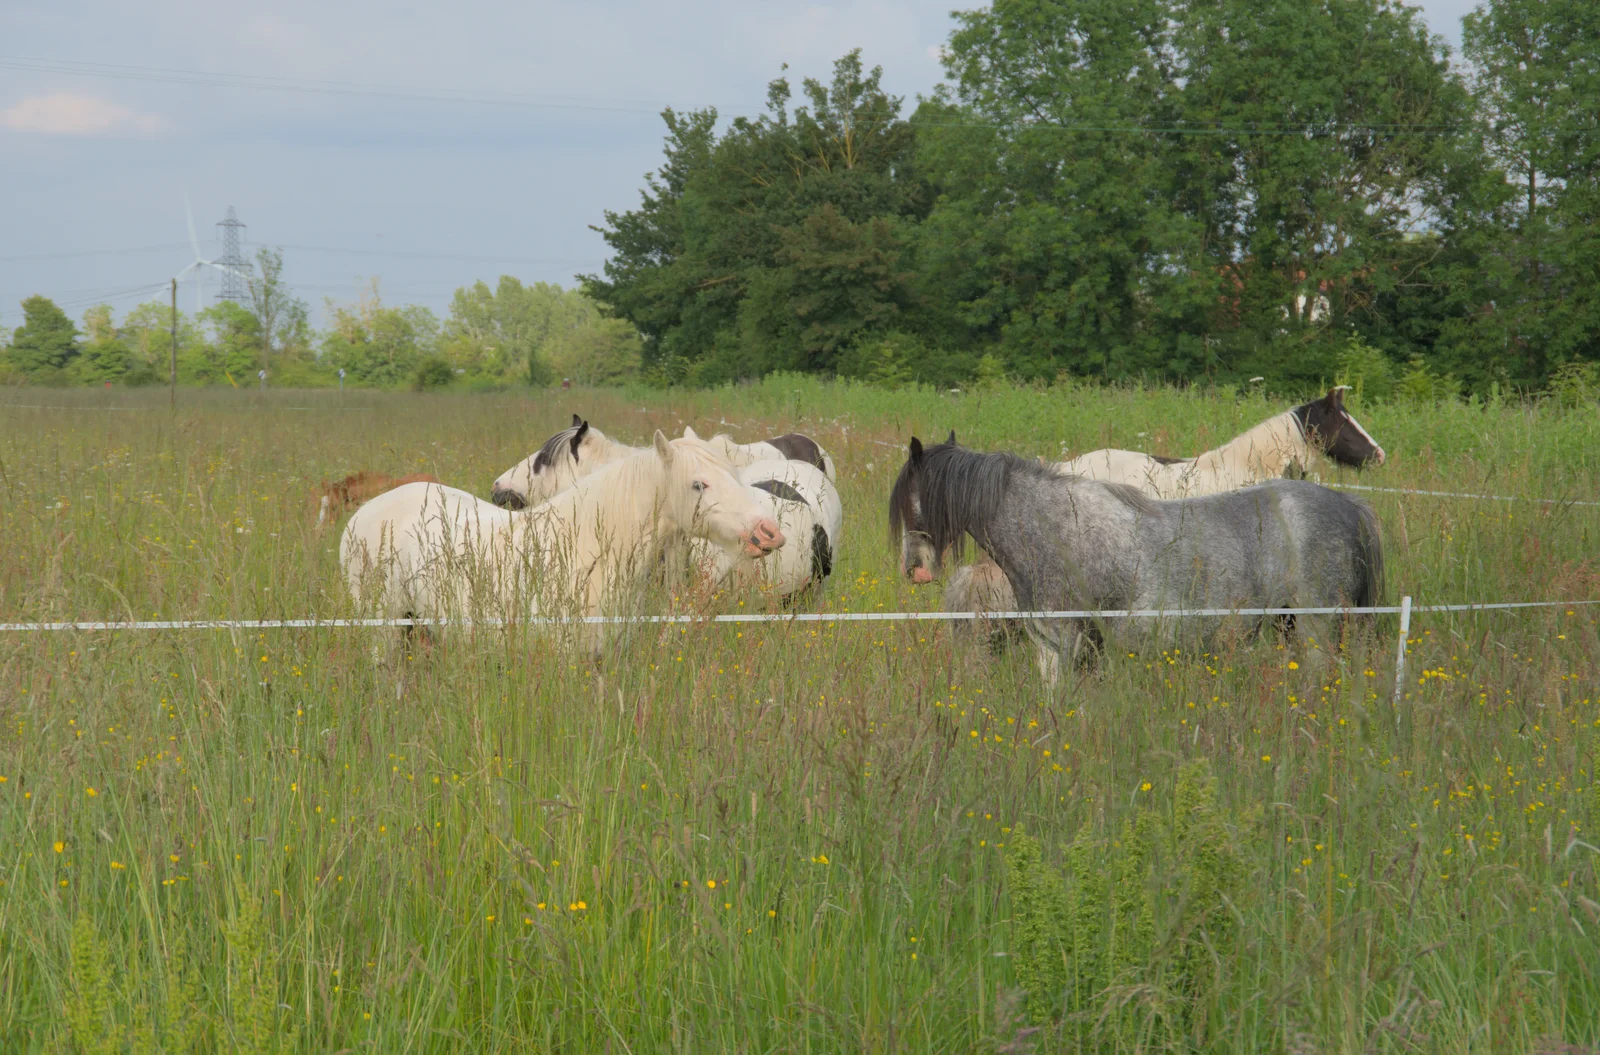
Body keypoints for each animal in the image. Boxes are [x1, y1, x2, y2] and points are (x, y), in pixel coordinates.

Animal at [889, 432, 1388, 681]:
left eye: (910, 503)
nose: (914, 569)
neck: (1052, 524)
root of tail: (1351, 506)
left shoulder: (1058, 643)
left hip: (1317, 628)